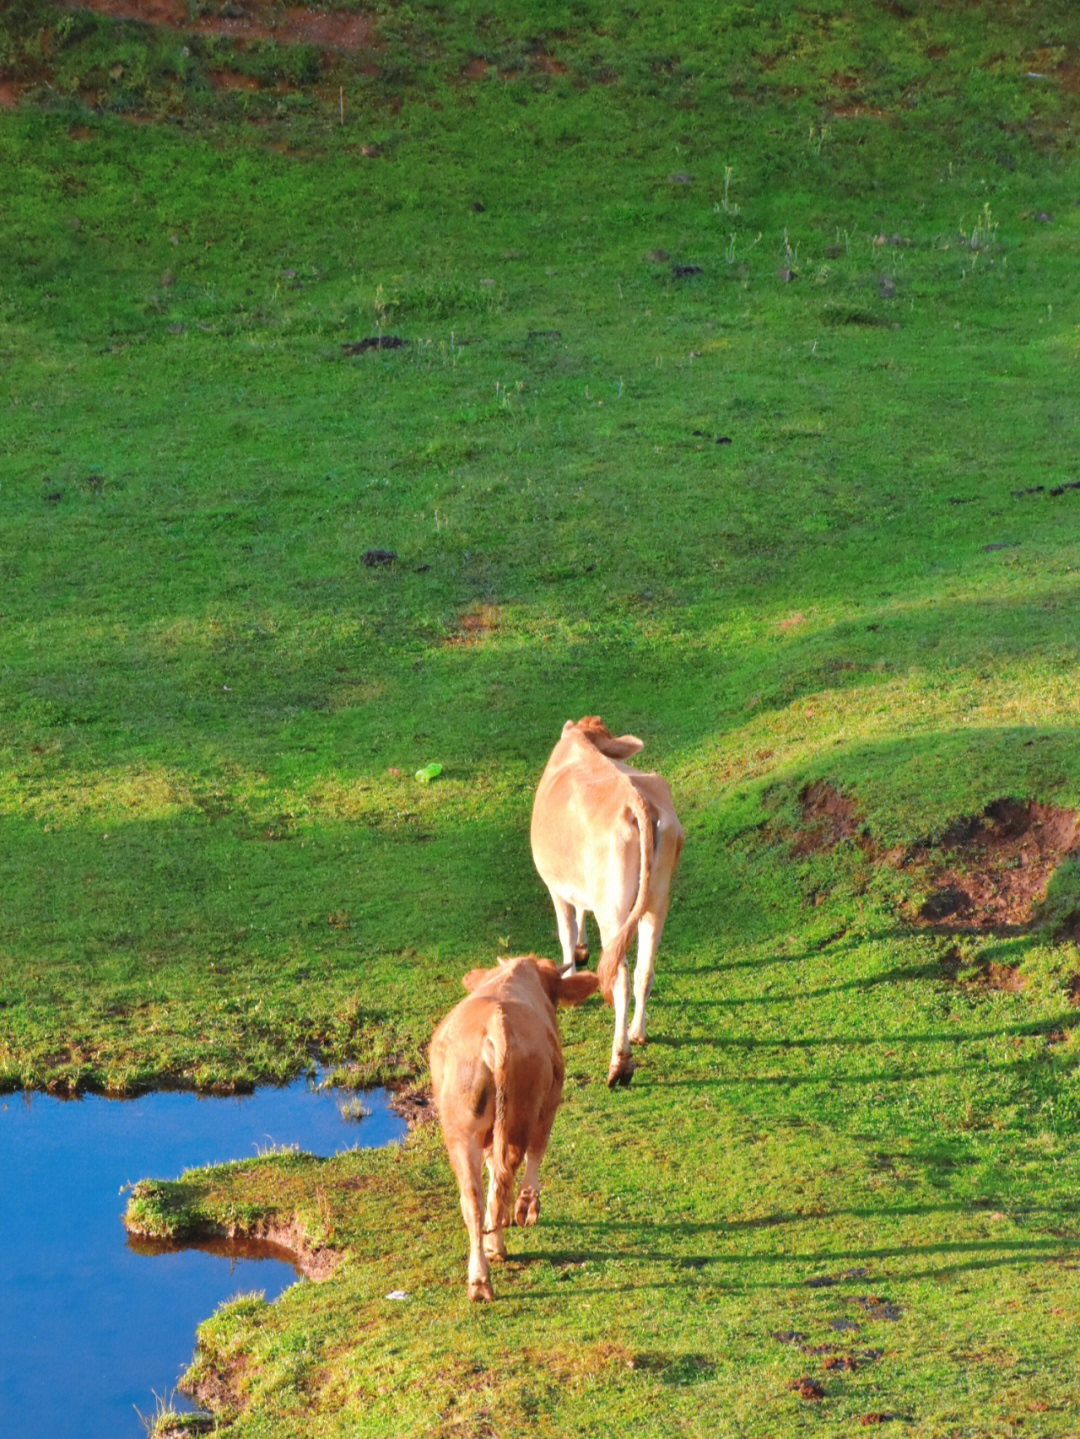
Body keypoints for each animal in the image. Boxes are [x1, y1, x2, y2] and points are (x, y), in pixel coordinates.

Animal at [428, 955, 601, 1306]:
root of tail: (496, 1023)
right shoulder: (550, 1103)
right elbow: (536, 1154)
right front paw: (526, 1207)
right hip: (522, 1113)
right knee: (507, 1171)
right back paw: (503, 1238)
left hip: (461, 1132)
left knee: (473, 1196)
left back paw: (479, 1279)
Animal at [529, 719, 684, 1087]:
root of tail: (637, 801)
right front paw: (582, 951)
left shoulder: (555, 886)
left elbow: (565, 931)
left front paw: (569, 974)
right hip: (657, 900)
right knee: (644, 968)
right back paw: (638, 1033)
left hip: (611, 907)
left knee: (621, 975)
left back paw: (620, 1062)